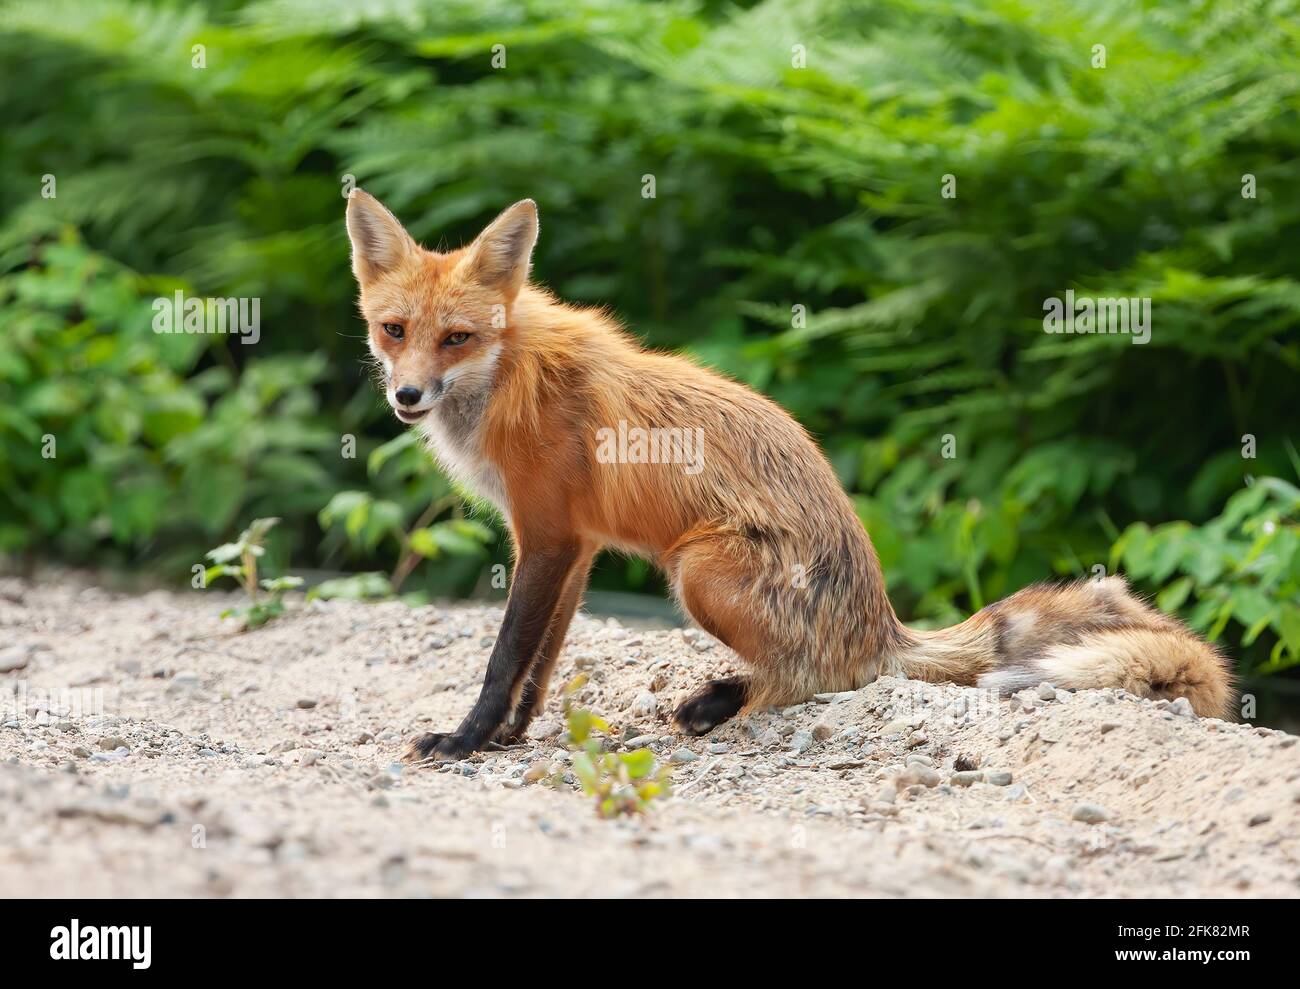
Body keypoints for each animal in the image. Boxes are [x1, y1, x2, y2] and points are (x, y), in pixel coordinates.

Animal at [344, 189, 1235, 762]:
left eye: (457, 337)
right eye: (394, 330)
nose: (407, 396)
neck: (505, 377)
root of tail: (884, 623)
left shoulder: (548, 535)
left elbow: (505, 659)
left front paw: (466, 740)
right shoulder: (574, 543)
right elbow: (540, 663)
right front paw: (510, 736)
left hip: (698, 569)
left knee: (814, 681)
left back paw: (723, 705)